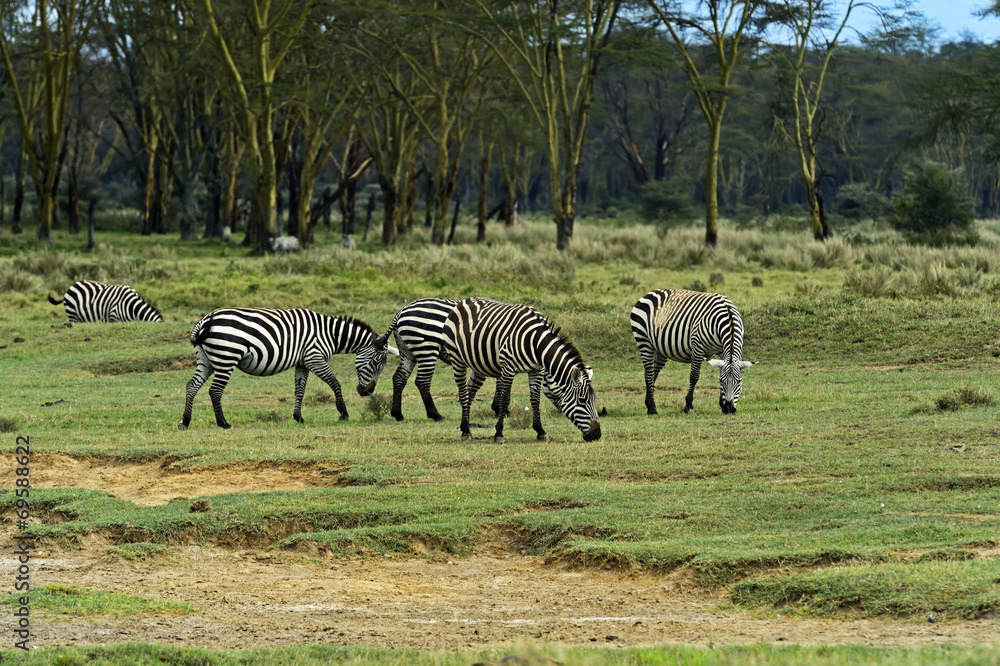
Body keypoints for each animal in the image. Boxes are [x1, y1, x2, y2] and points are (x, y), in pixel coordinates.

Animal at [178, 307, 398, 430]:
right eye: (376, 363)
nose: (367, 392)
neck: (330, 334)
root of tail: (205, 320)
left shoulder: (302, 363)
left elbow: (299, 390)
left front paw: (298, 417)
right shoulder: (314, 357)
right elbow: (335, 382)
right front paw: (343, 413)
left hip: (206, 359)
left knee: (192, 386)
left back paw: (185, 422)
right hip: (227, 356)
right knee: (215, 391)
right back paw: (223, 423)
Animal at [442, 298, 601, 443]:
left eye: (594, 399)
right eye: (582, 400)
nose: (597, 435)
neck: (535, 343)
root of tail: (464, 300)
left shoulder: (537, 370)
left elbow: (535, 400)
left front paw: (540, 431)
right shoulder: (508, 369)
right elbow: (504, 400)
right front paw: (499, 433)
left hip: (479, 365)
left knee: (470, 391)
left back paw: (465, 426)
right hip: (457, 360)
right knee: (463, 393)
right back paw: (465, 431)